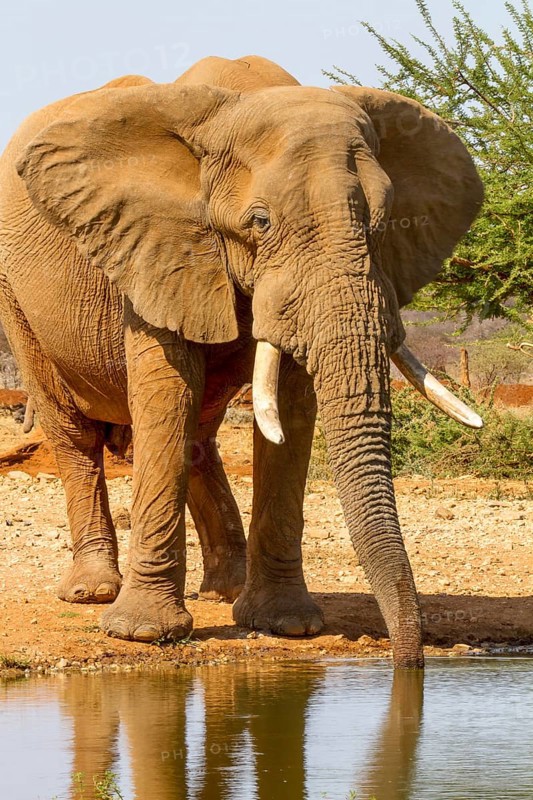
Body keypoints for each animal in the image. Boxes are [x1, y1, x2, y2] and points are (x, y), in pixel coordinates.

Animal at [0, 54, 483, 668]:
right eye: (260, 223)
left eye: (382, 221)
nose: (410, 663)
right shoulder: (156, 244)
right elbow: (168, 390)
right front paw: (141, 633)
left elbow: (293, 406)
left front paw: (286, 625)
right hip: (17, 301)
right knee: (76, 433)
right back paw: (94, 592)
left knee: (199, 435)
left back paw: (225, 588)